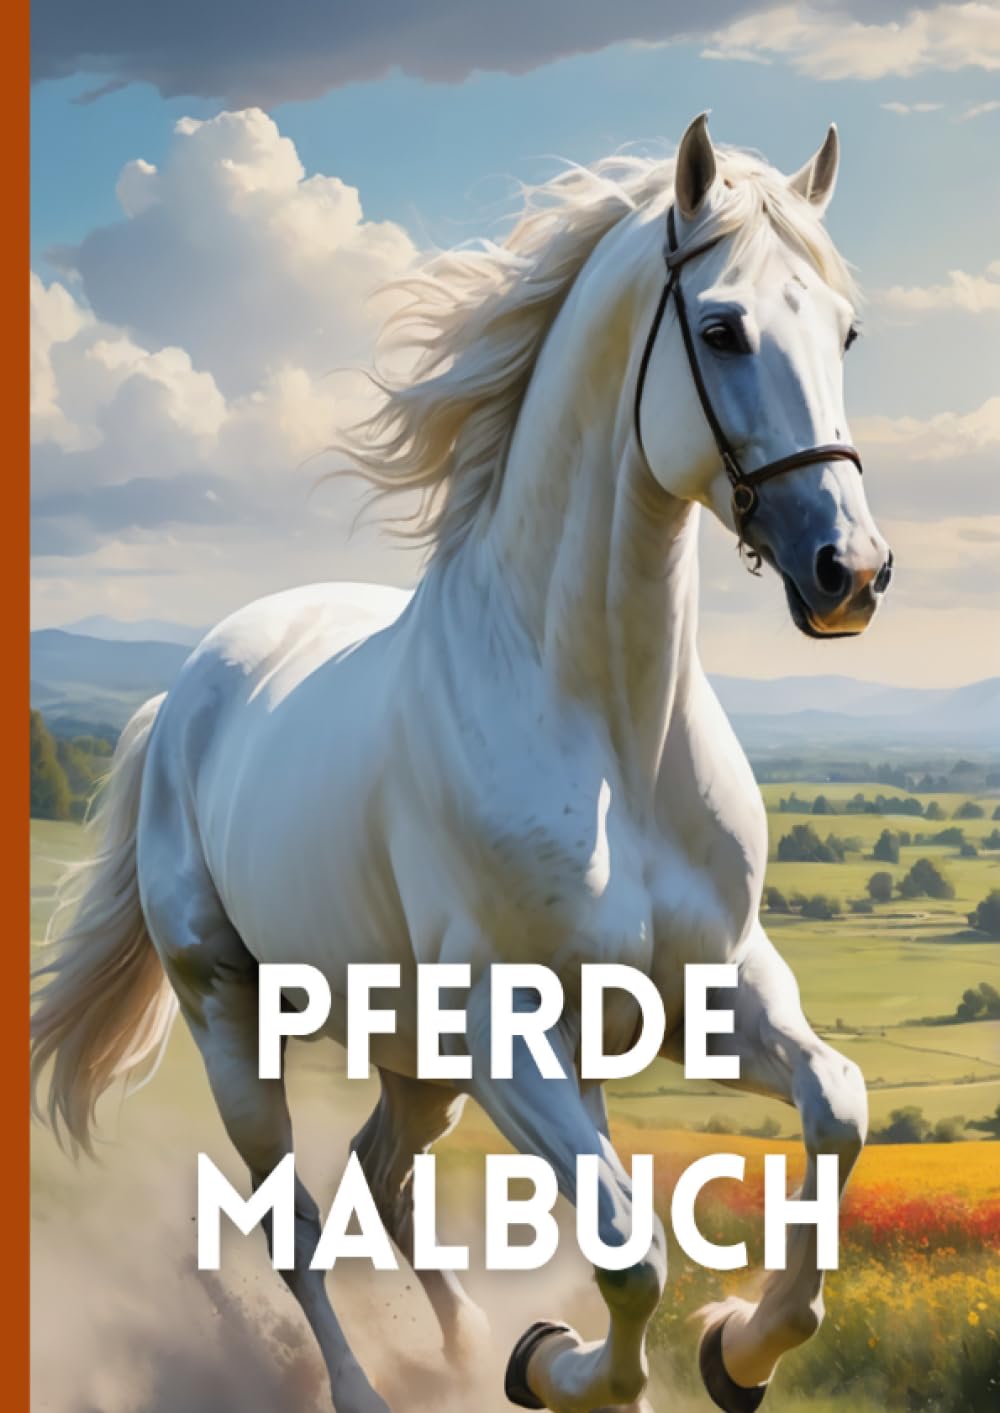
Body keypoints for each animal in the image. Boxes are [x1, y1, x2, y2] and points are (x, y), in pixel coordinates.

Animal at [31, 113, 892, 1413]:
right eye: (721, 329)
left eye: (841, 329)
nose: (851, 572)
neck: (606, 735)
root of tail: (183, 693)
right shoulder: (505, 1031)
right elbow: (628, 1247)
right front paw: (561, 1364)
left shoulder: (708, 991)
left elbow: (834, 1111)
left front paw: (733, 1348)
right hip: (232, 1016)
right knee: (295, 1219)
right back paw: (373, 1386)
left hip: (416, 1058)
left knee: (382, 1174)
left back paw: (454, 1345)